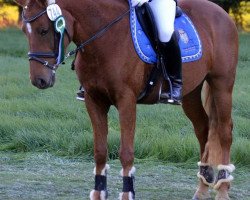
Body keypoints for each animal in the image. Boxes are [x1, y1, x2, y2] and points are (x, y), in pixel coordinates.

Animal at [14, 0, 237, 199]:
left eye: (44, 30)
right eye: (25, 31)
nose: (39, 80)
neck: (104, 38)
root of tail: (221, 12)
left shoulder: (126, 101)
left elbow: (126, 152)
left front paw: (128, 193)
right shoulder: (94, 101)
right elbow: (100, 151)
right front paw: (98, 193)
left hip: (222, 85)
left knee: (224, 132)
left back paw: (222, 190)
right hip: (191, 93)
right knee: (203, 129)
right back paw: (202, 189)